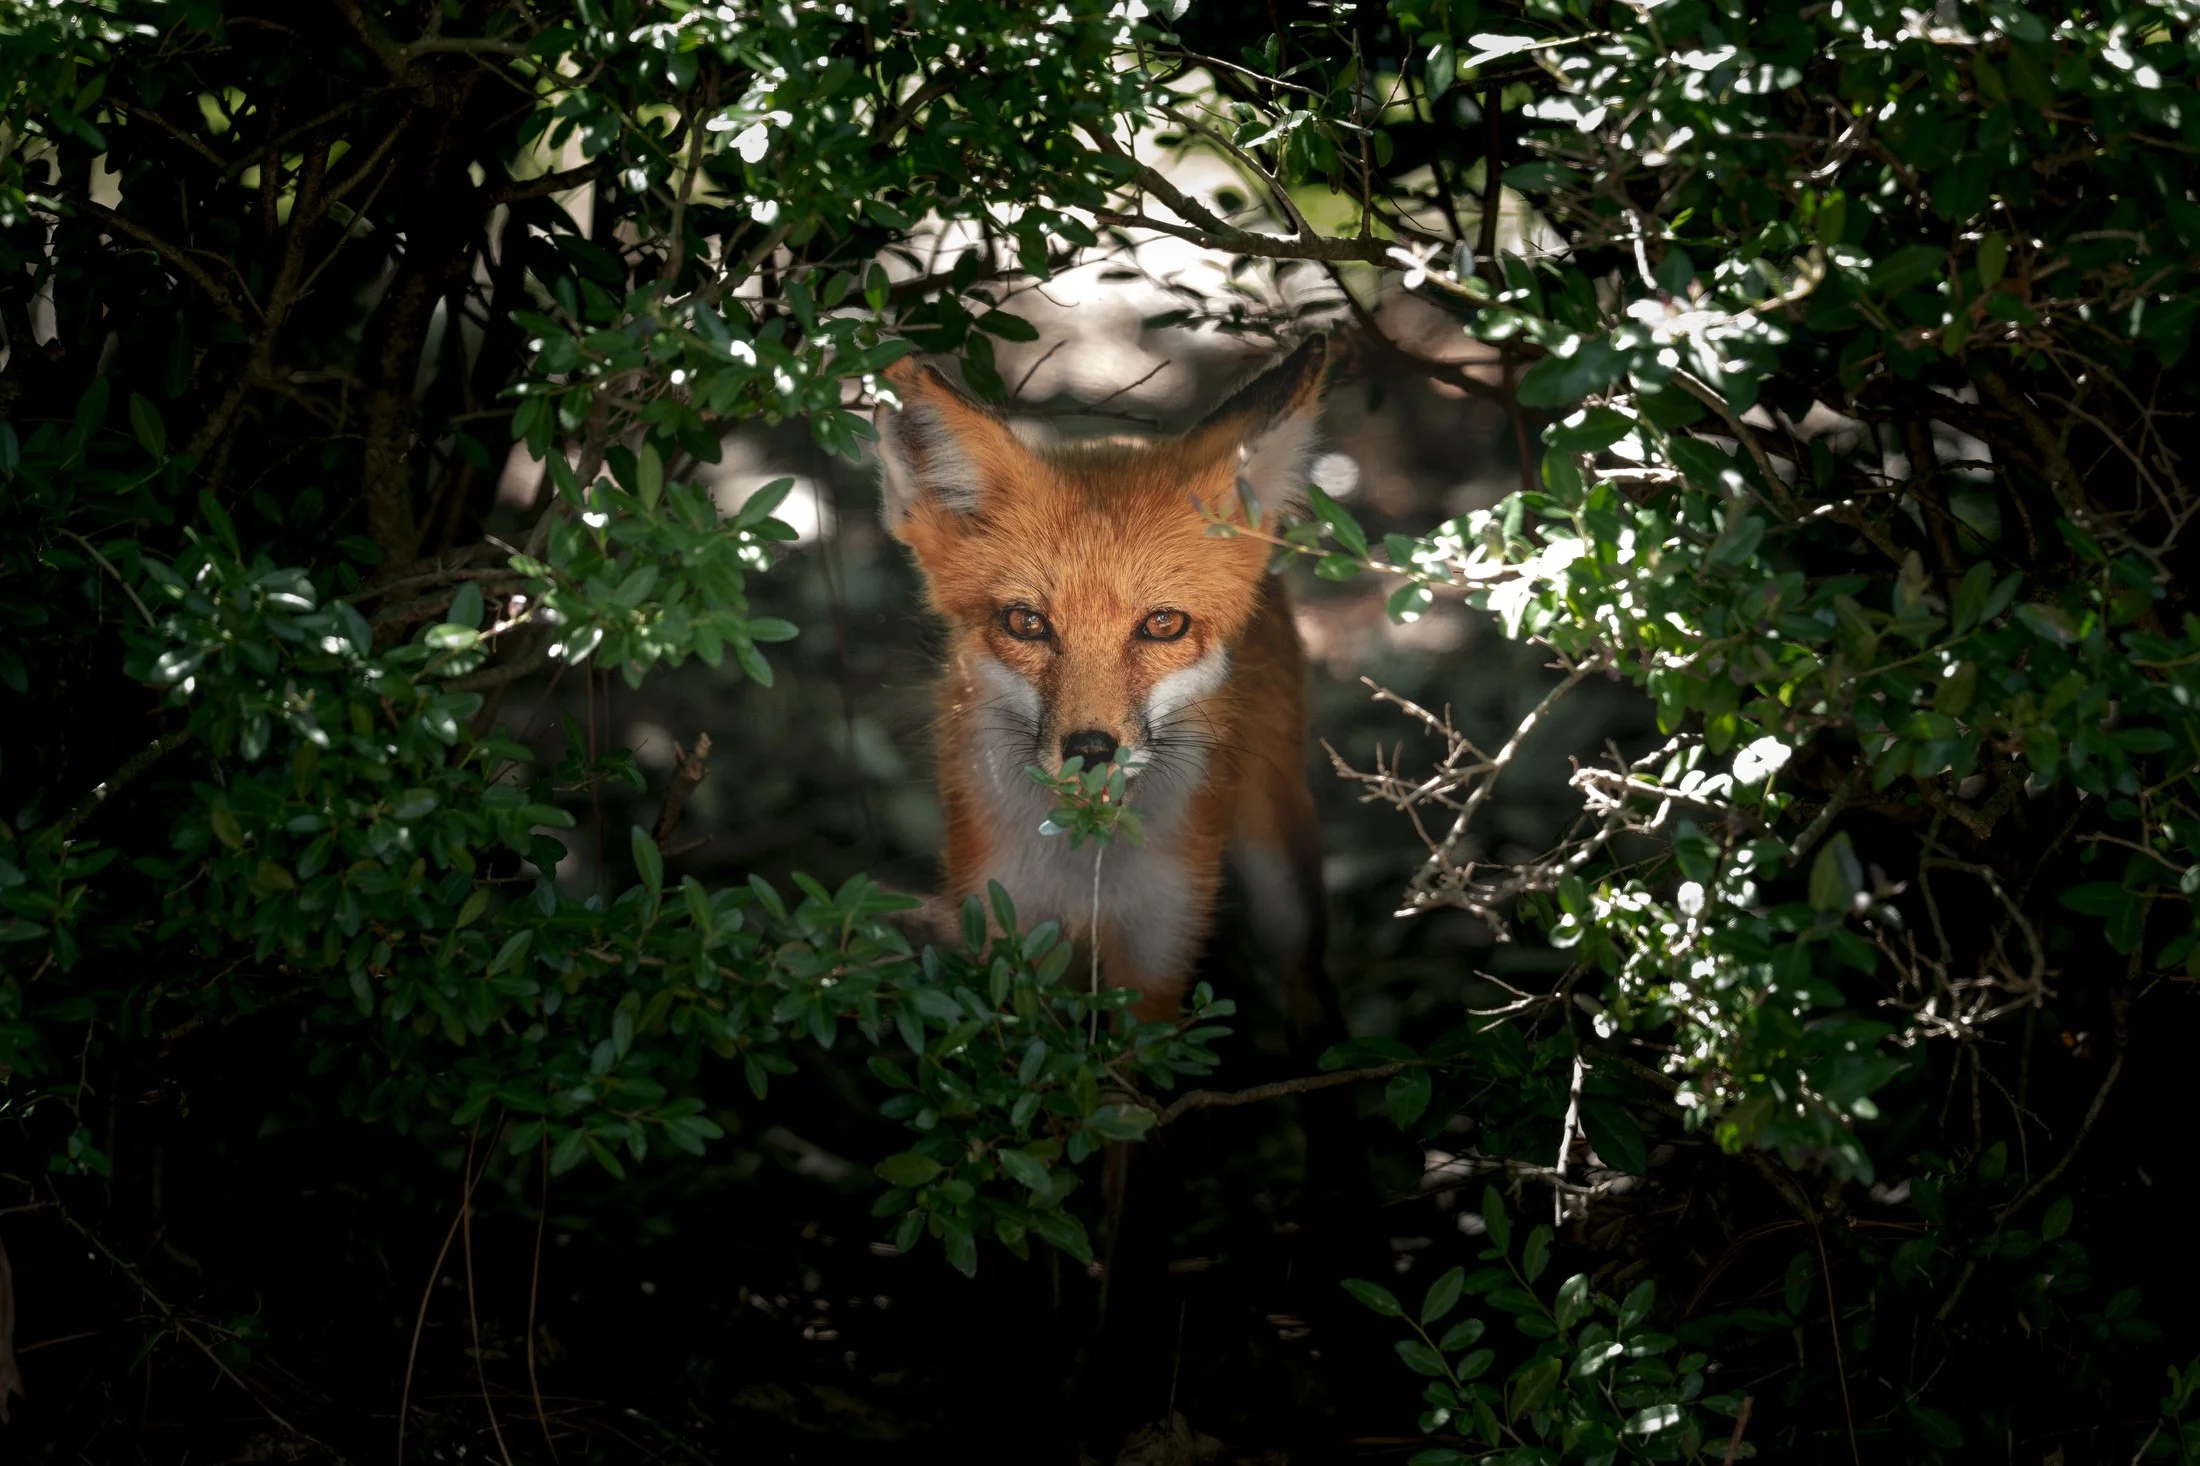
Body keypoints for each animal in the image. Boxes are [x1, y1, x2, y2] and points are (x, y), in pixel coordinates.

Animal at [873, 337, 1339, 1048]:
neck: (1083, 868)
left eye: (1163, 624)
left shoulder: (1158, 946)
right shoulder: (1004, 935)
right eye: (1026, 623)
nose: (1091, 749)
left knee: (1304, 977)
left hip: (1280, 872)